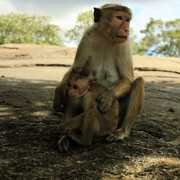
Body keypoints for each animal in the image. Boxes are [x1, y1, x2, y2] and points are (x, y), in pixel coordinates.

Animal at [53, 3, 145, 152]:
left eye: (127, 20)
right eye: (119, 18)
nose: (126, 29)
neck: (106, 38)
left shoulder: (125, 44)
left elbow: (127, 78)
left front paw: (107, 97)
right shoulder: (87, 38)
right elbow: (75, 69)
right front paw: (58, 94)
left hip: (115, 121)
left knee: (138, 82)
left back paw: (121, 132)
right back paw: (65, 137)